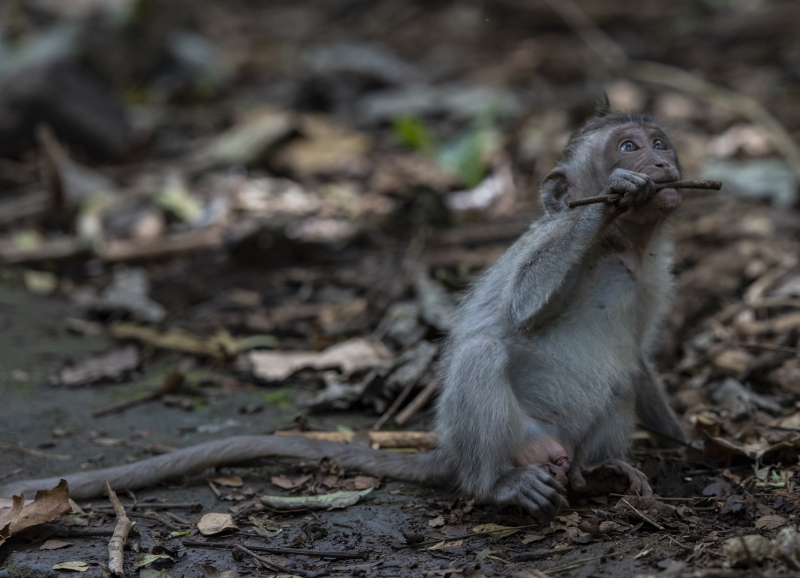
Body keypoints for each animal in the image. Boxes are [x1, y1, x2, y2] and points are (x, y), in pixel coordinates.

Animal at [1, 104, 688, 520]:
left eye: (659, 141)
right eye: (628, 145)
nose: (661, 163)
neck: (621, 252)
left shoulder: (655, 272)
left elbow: (641, 357)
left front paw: (685, 438)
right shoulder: (544, 241)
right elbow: (519, 310)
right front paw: (616, 195)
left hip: (569, 442)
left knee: (620, 379)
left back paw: (597, 476)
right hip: (513, 439)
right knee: (484, 356)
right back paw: (498, 485)